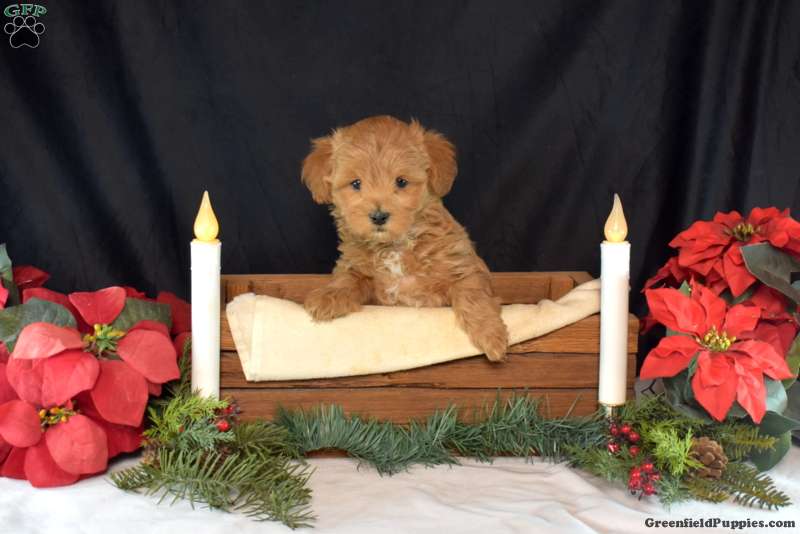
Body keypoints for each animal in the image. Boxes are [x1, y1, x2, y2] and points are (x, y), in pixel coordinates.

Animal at [300, 115, 508, 361]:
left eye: (401, 182)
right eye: (356, 183)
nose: (379, 216)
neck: (394, 246)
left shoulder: (463, 267)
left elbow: (473, 296)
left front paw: (491, 336)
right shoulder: (356, 268)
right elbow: (347, 279)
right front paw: (328, 297)